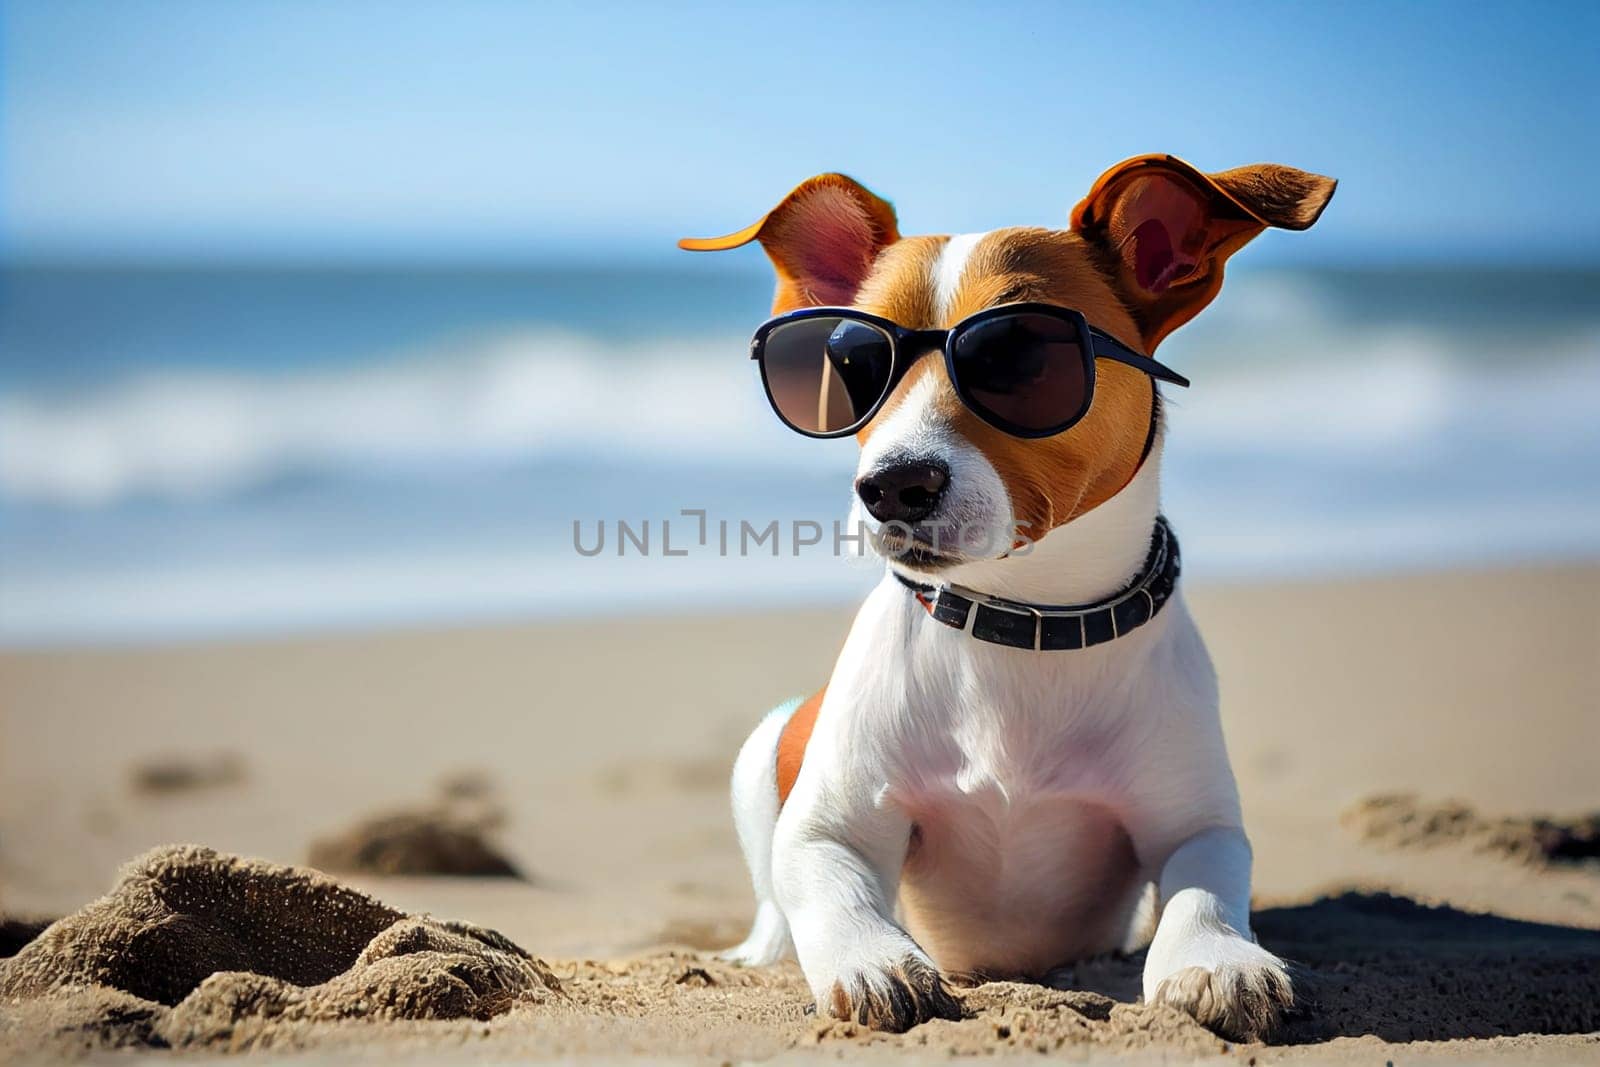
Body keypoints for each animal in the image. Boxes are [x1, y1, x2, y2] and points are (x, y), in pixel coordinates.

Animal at [678, 154, 1337, 1036]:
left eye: (1021, 355)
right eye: (851, 361)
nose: (893, 485)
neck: (1024, 622)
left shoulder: (1196, 821)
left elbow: (1203, 887)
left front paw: (1217, 959)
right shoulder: (828, 827)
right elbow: (830, 886)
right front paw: (872, 959)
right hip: (768, 742)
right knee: (770, 897)